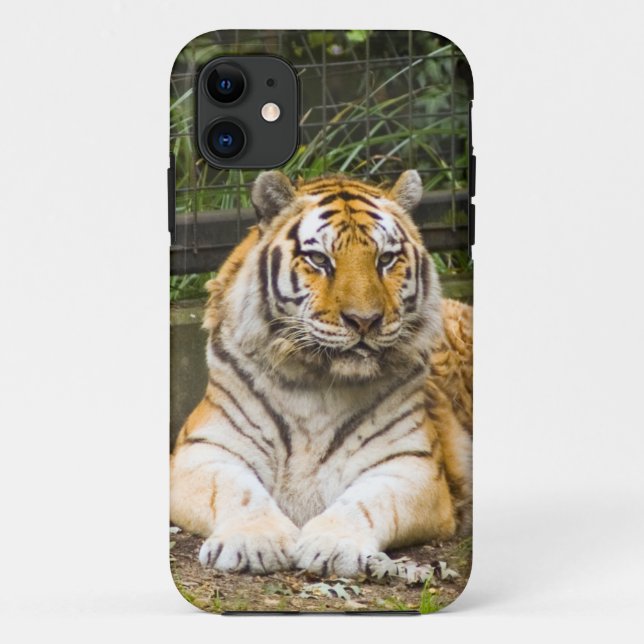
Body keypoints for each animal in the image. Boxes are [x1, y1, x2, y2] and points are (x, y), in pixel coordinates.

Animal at [170, 170, 472, 578]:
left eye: (386, 259)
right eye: (319, 259)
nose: (365, 321)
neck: (316, 384)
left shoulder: (412, 463)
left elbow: (368, 502)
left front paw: (333, 546)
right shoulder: (204, 449)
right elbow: (237, 491)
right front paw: (253, 542)